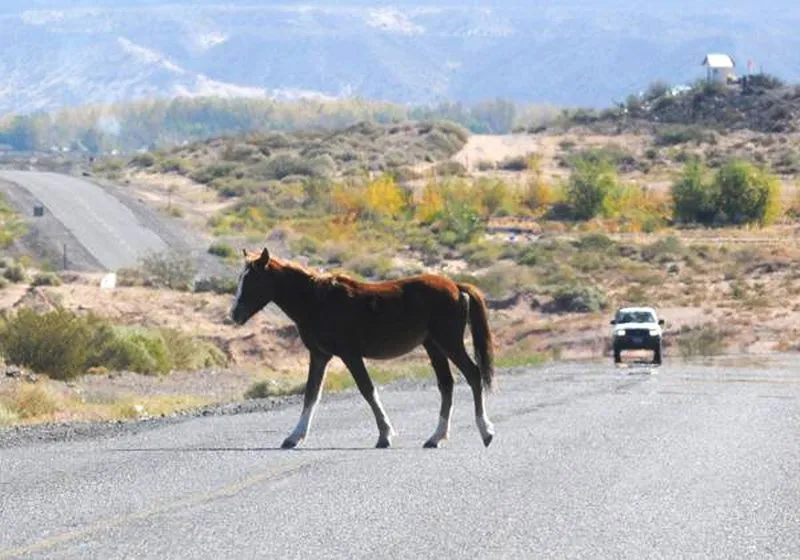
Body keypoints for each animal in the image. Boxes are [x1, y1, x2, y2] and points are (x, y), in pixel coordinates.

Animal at [230, 248, 496, 449]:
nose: (234, 315)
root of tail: (456, 286)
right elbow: (311, 394)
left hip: (449, 342)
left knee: (473, 374)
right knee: (446, 384)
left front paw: (385, 435)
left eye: (252, 281)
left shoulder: (350, 355)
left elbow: (367, 390)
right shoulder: (319, 355)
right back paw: (436, 437)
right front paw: (294, 437)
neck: (317, 302)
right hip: (434, 346)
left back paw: (486, 432)